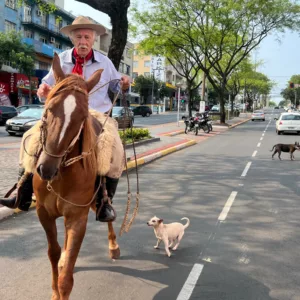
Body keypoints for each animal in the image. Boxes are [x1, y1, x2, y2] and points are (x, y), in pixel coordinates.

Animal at [33, 54, 119, 300]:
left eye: (82, 116)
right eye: (49, 108)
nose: (46, 169)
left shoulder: (78, 218)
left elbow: (67, 279)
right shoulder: (44, 214)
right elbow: (53, 252)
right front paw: (54, 288)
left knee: (107, 211)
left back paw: (113, 246)